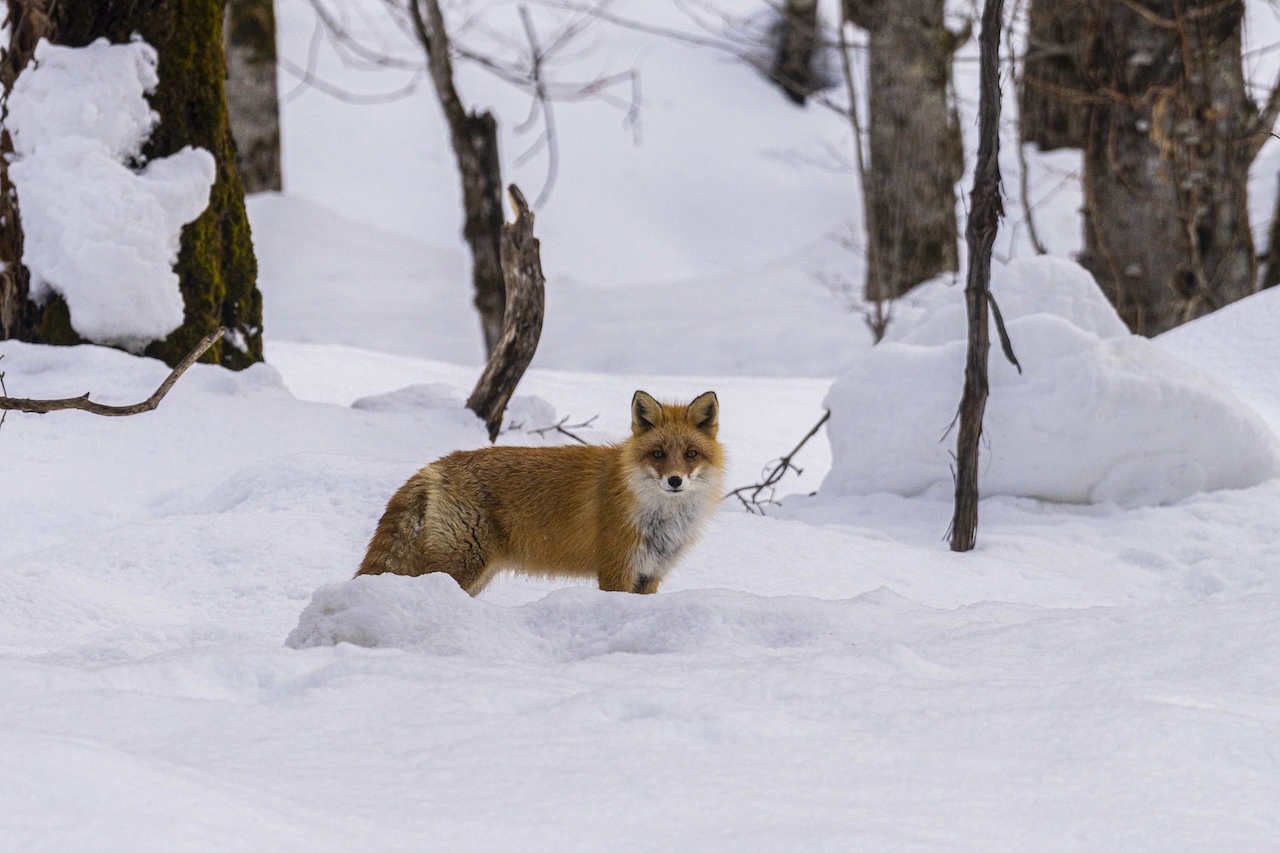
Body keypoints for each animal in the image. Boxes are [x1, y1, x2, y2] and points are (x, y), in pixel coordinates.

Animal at [356, 390, 724, 595]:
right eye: (658, 454)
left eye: (691, 454)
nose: (675, 481)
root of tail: (438, 463)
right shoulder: (616, 570)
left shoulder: (650, 575)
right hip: (461, 565)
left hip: (477, 573)